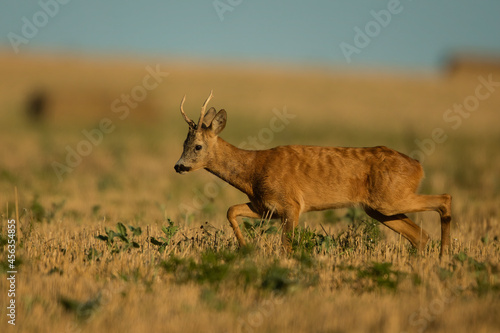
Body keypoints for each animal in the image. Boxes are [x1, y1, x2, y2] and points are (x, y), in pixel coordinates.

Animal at [174, 92, 452, 255]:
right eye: (183, 143)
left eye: (197, 146)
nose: (178, 166)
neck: (253, 171)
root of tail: (418, 166)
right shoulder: (265, 207)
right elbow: (231, 210)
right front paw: (245, 248)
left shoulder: (291, 204)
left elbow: (286, 246)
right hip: (379, 208)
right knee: (421, 236)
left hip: (391, 198)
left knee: (444, 199)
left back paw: (445, 256)